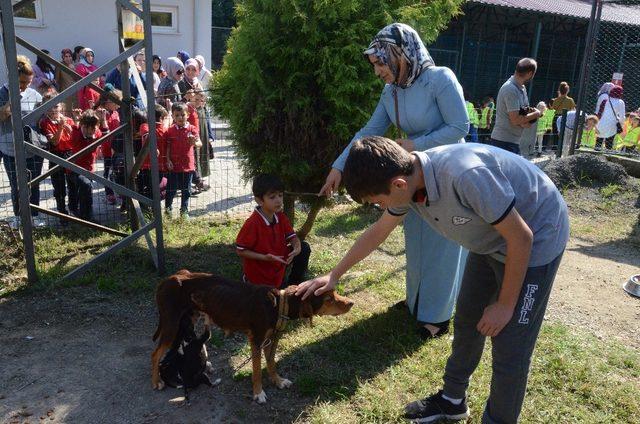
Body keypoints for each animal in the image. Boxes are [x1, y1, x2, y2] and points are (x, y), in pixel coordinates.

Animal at [153, 270, 358, 402]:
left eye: (335, 292)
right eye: (328, 299)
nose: (351, 303)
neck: (278, 305)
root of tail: (166, 280)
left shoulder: (272, 340)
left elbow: (272, 363)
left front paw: (278, 381)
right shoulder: (257, 341)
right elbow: (258, 370)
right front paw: (258, 393)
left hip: (192, 316)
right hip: (171, 325)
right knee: (155, 354)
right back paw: (156, 382)